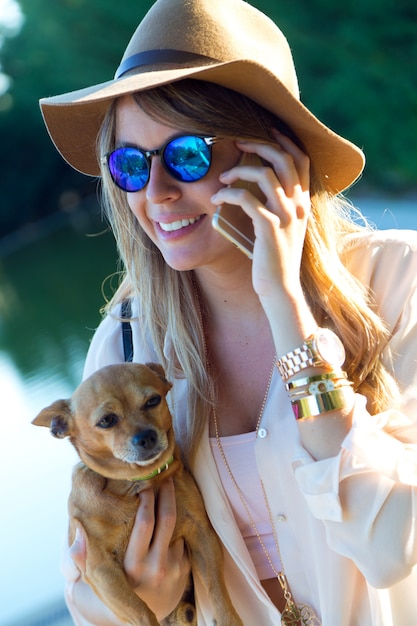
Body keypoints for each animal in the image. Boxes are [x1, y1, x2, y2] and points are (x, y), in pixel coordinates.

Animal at [33, 360, 244, 624]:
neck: (135, 483)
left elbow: (217, 590)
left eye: (153, 400)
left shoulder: (202, 534)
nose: (146, 436)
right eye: (106, 420)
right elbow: (141, 611)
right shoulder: (100, 568)